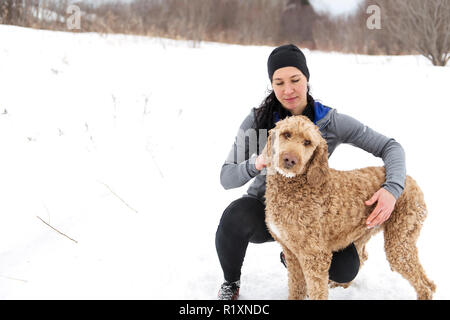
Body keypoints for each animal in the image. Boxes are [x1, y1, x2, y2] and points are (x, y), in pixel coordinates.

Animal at [264, 115, 436, 300]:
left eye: (307, 142)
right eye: (286, 134)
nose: (290, 160)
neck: (297, 184)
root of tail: (409, 179)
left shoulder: (314, 255)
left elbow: (317, 290)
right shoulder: (290, 251)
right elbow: (296, 287)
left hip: (400, 240)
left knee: (423, 284)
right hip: (362, 233)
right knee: (364, 257)